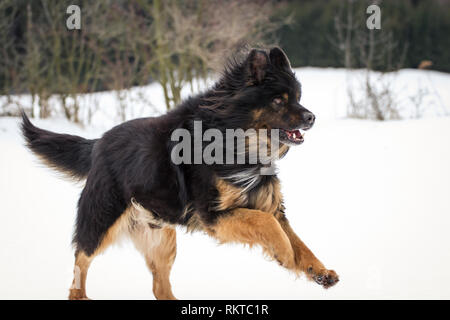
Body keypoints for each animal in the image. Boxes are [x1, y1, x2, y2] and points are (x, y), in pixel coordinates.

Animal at [21, 47, 338, 300]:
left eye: (298, 98)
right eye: (278, 100)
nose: (311, 117)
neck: (235, 139)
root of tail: (98, 143)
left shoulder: (268, 204)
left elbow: (297, 240)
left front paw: (318, 270)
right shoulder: (214, 216)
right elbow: (270, 227)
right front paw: (284, 255)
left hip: (162, 238)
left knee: (159, 287)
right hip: (102, 220)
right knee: (81, 258)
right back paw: (79, 294)